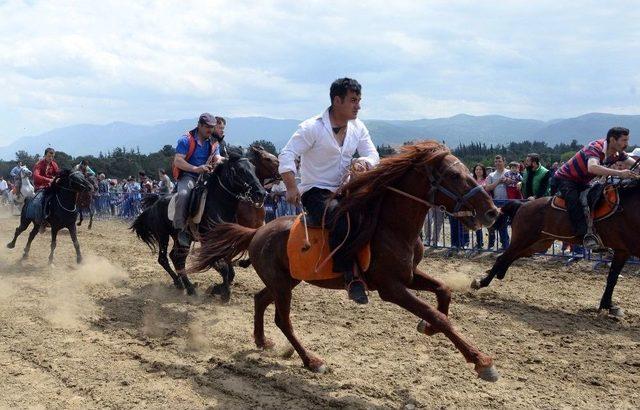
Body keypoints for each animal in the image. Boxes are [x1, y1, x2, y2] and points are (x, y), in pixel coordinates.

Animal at [131, 146, 266, 300]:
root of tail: (154, 204)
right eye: (239, 170)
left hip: (180, 239)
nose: (261, 193)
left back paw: (185, 284)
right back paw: (184, 285)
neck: (218, 205)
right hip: (163, 236)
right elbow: (223, 267)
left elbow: (228, 267)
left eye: (254, 168)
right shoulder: (208, 242)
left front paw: (218, 289)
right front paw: (223, 292)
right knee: (165, 259)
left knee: (176, 258)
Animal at [192, 141, 502, 382]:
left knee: (259, 300)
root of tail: (257, 232)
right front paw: (481, 361)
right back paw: (312, 361)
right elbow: (437, 314)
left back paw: (261, 340)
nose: (492, 212)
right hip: (282, 285)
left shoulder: (409, 275)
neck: (390, 225)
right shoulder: (391, 288)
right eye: (455, 175)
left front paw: (428, 328)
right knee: (283, 320)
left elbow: (443, 292)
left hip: (286, 281)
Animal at [470, 181, 640, 318]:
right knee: (503, 257)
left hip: (538, 244)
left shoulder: (622, 251)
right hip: (523, 239)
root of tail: (524, 205)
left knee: (510, 257)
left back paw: (499, 274)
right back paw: (482, 282)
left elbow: (612, 278)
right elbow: (613, 277)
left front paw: (608, 305)